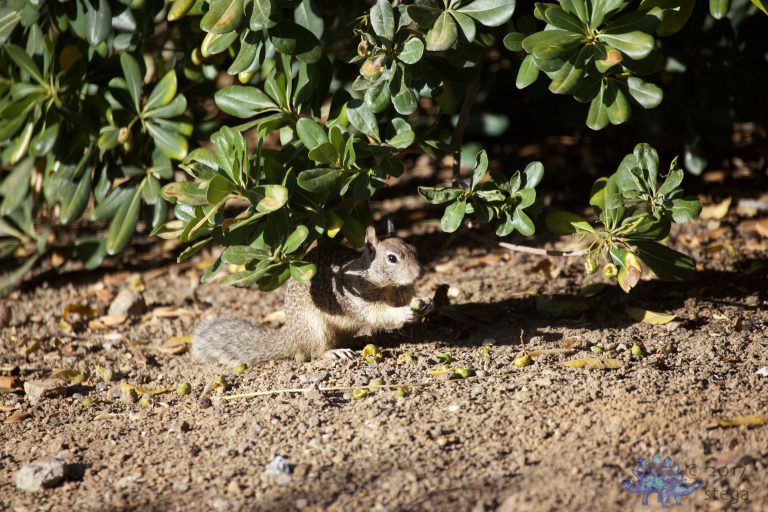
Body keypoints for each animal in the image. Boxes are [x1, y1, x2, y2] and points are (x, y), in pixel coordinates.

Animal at [191, 226, 427, 365]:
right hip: (315, 328)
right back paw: (335, 353)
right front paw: (405, 313)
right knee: (315, 351)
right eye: (392, 258)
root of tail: (292, 337)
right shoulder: (355, 298)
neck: (387, 286)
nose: (419, 274)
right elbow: (377, 314)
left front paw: (425, 303)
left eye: (415, 250)